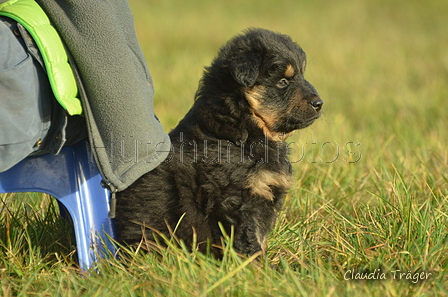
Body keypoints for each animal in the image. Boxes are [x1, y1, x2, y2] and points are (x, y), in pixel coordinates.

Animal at [114, 28, 324, 256]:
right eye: (283, 82)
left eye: (302, 75)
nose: (319, 103)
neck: (242, 132)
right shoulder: (238, 198)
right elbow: (250, 241)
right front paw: (255, 264)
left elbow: (260, 238)